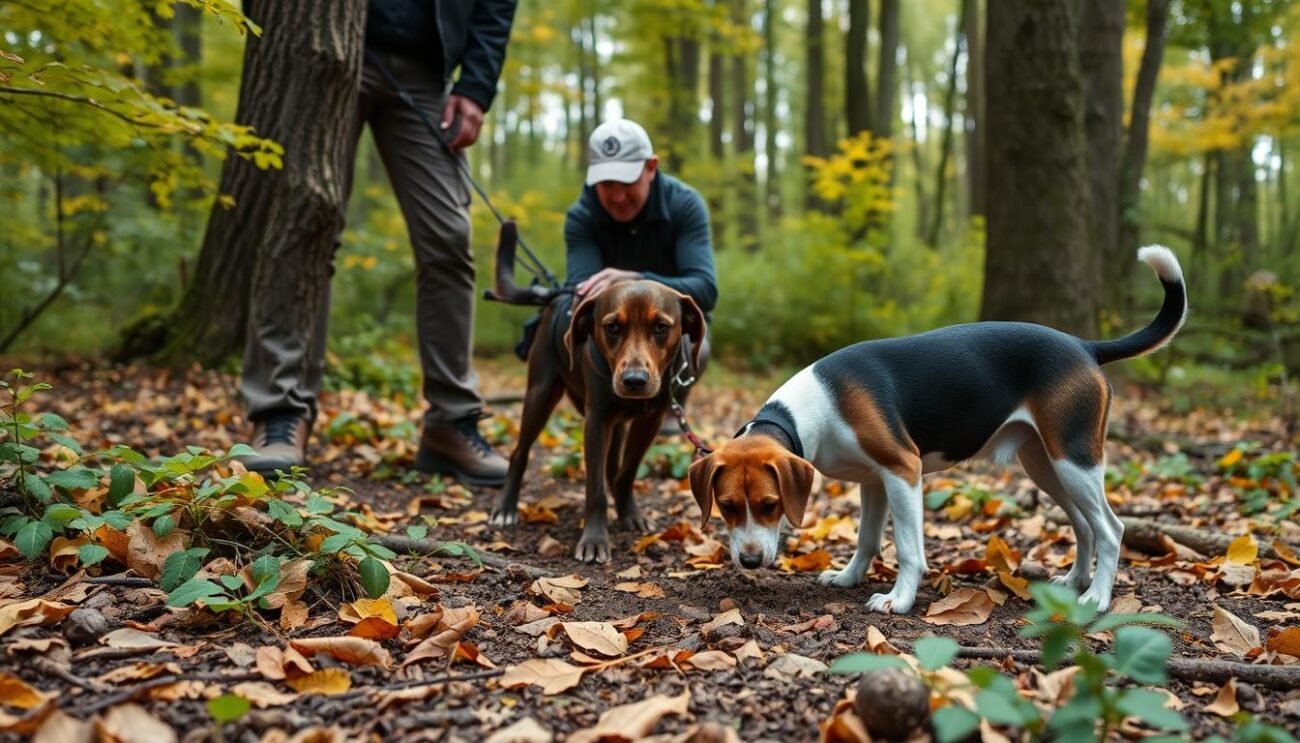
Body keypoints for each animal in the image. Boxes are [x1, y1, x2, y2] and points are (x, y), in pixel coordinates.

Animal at [488, 281, 712, 561]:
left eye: (661, 327)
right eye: (612, 327)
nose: (634, 380)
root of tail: (557, 296)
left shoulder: (649, 420)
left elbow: (627, 472)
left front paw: (629, 513)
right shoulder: (596, 421)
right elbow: (595, 488)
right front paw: (595, 539)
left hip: (616, 424)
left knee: (613, 466)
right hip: (540, 394)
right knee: (520, 452)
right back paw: (505, 507)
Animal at [691, 246, 1190, 613]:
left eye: (770, 505)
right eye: (728, 507)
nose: (750, 561)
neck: (810, 410)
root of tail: (1085, 346)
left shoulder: (902, 471)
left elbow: (909, 550)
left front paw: (898, 600)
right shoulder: (875, 481)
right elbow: (867, 539)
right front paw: (850, 577)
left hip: (1074, 462)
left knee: (1111, 528)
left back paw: (1097, 597)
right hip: (1046, 465)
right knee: (1084, 525)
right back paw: (1075, 580)